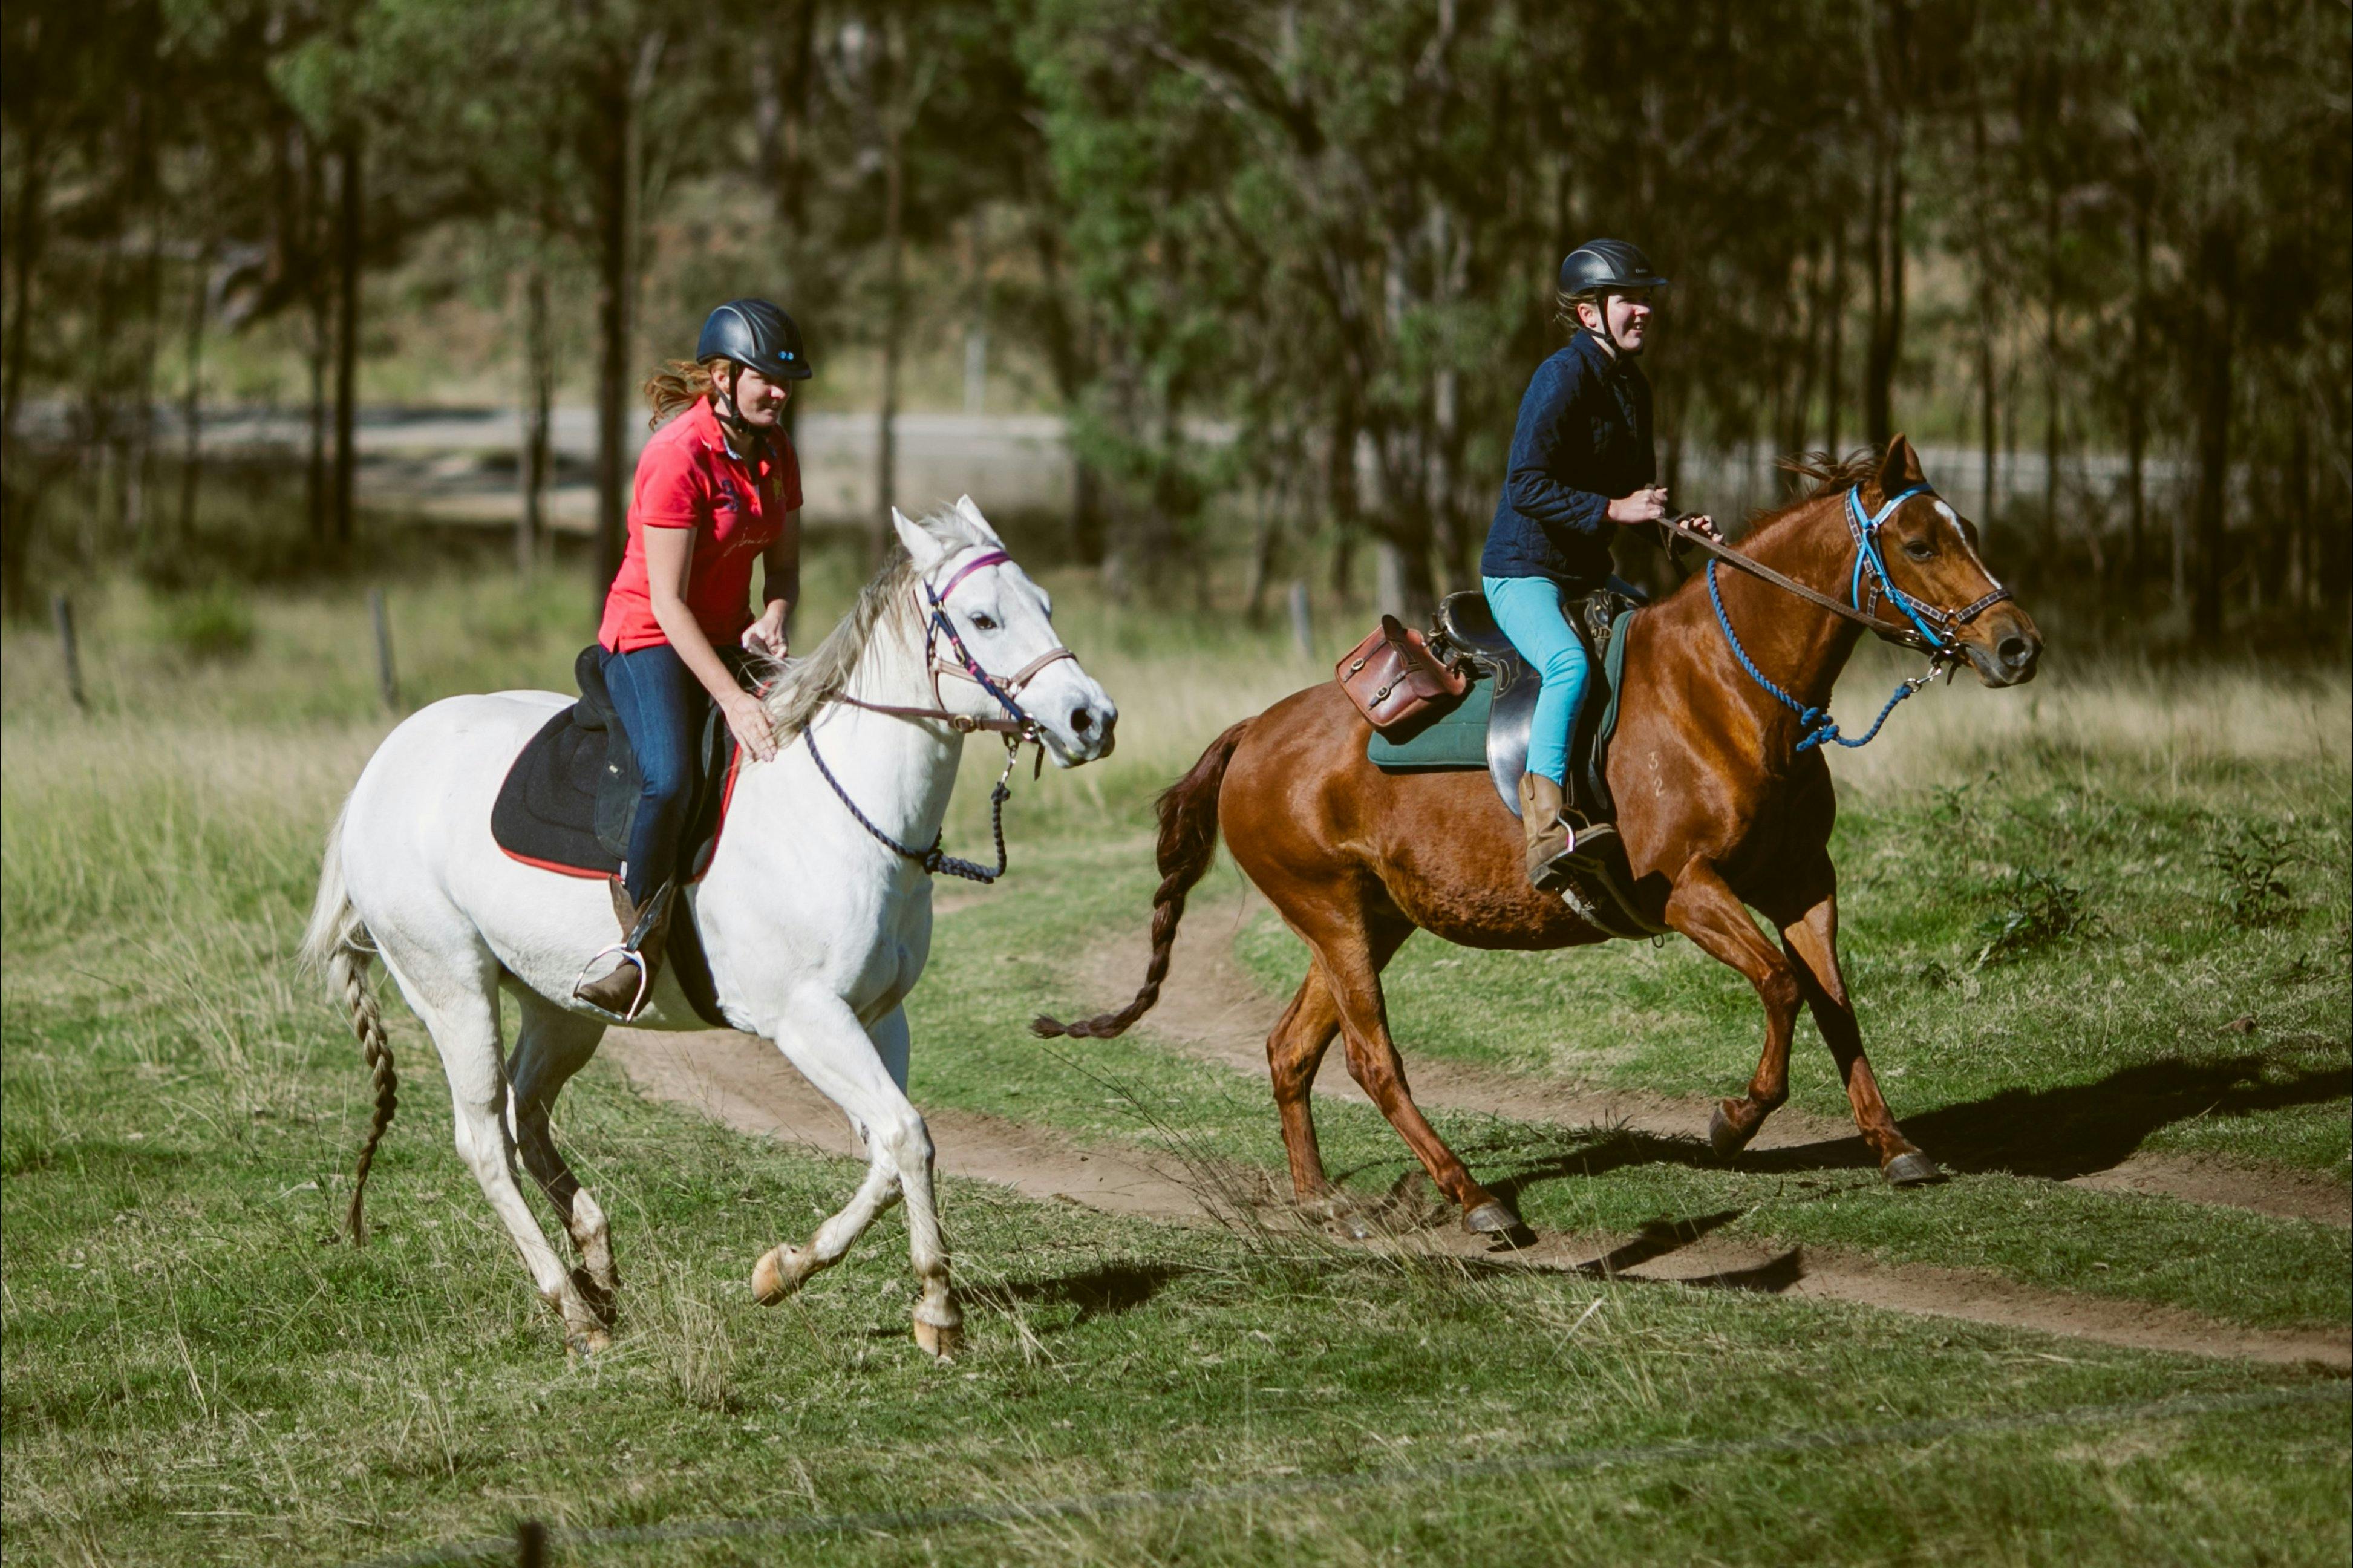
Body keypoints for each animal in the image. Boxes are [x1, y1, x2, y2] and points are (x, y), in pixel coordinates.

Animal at [302, 499, 1117, 1357]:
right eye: (983, 618)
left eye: (1045, 605)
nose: (1091, 719)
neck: (841, 810)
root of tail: (379, 770)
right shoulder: (807, 1020)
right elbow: (906, 1137)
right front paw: (936, 1309)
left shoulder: (877, 1016)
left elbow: (889, 1154)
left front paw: (784, 1270)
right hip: (452, 990)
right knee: (486, 1141)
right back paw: (573, 1308)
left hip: (562, 1005)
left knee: (528, 1111)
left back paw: (595, 1259)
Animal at [1037, 435, 2040, 1236]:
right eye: (1918, 544)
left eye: (1966, 529)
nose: (2017, 646)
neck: (1726, 688)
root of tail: (1252, 733)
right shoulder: (1689, 890)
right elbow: (1782, 987)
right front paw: (1735, 1119)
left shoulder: (1800, 880)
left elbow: (1833, 1000)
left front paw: (1892, 1144)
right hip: (1329, 915)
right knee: (1370, 1060)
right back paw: (1475, 1200)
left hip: (1366, 920)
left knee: (1293, 1048)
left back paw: (1321, 1201)